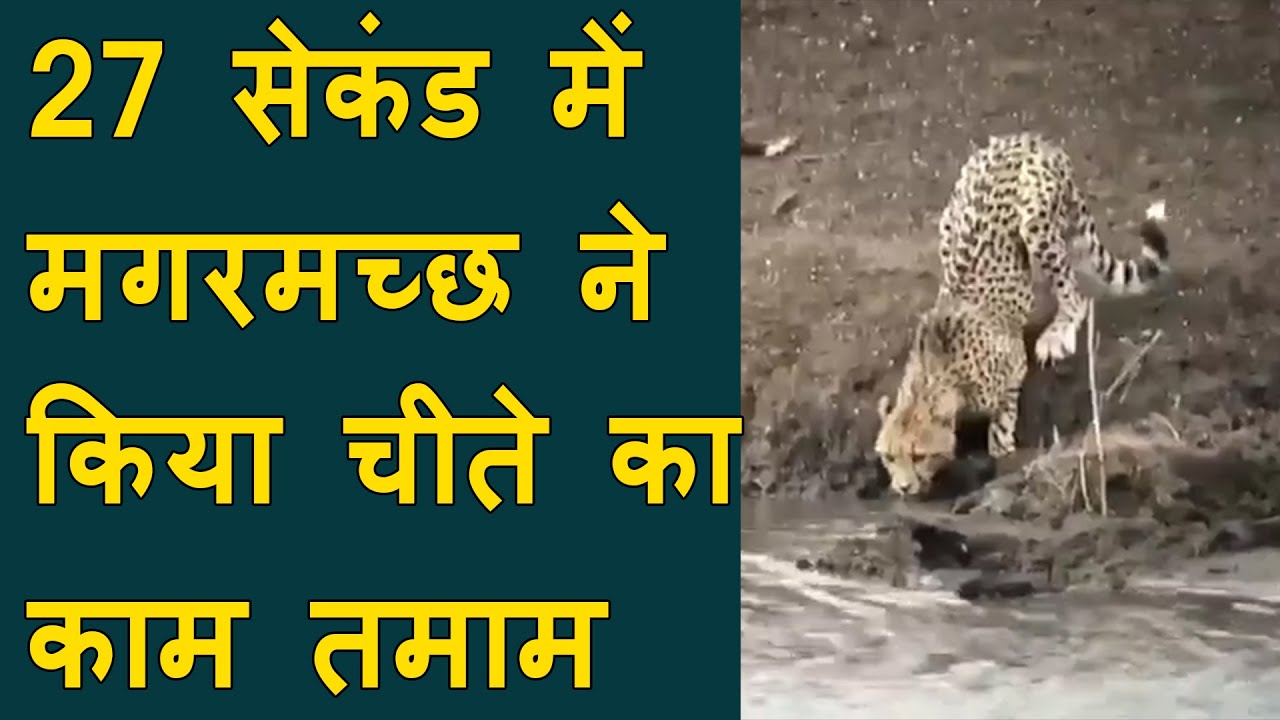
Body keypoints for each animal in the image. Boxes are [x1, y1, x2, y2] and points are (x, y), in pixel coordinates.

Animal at [873, 131, 1173, 498]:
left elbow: (1001, 424)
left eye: (919, 456)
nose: (902, 487)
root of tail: (1029, 138)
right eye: (889, 457)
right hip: (949, 219)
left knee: (1076, 294)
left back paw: (1058, 333)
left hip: (1035, 222)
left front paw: (1001, 451)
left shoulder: (1013, 367)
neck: (936, 373)